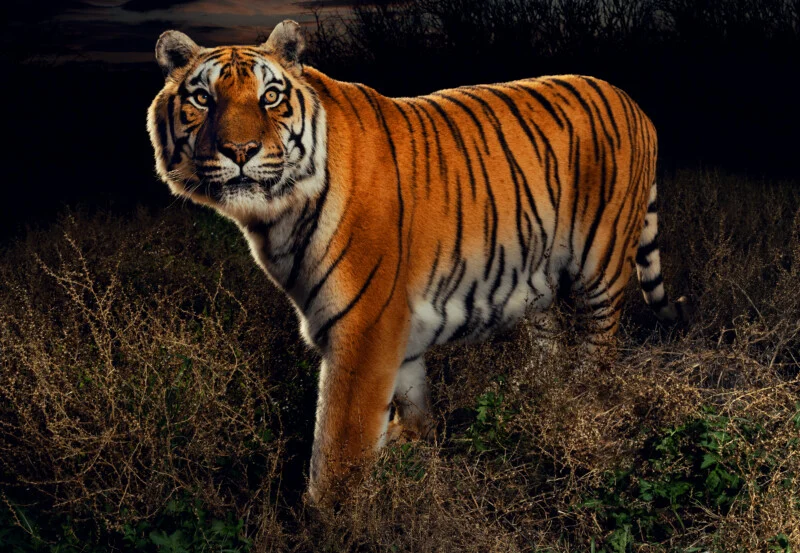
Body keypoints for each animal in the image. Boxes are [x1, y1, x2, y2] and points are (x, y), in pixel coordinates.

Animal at [147, 20, 689, 503]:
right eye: (203, 99)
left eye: (271, 97)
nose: (239, 151)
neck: (275, 216)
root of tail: (634, 103)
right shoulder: (397, 330)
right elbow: (409, 406)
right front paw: (416, 456)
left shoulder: (363, 327)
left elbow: (339, 446)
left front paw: (329, 520)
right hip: (539, 280)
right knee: (549, 343)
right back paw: (530, 398)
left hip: (600, 267)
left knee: (601, 347)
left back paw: (583, 403)